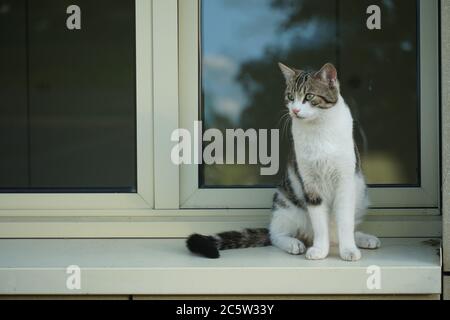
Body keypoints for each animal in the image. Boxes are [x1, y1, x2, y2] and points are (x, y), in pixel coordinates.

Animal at [186, 62, 380, 260]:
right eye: (290, 96)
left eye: (309, 96)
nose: (294, 110)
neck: (318, 129)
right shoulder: (310, 184)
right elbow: (319, 223)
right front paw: (319, 250)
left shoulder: (345, 181)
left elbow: (345, 221)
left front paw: (349, 249)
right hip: (284, 203)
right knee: (276, 235)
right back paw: (294, 243)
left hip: (360, 194)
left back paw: (364, 238)